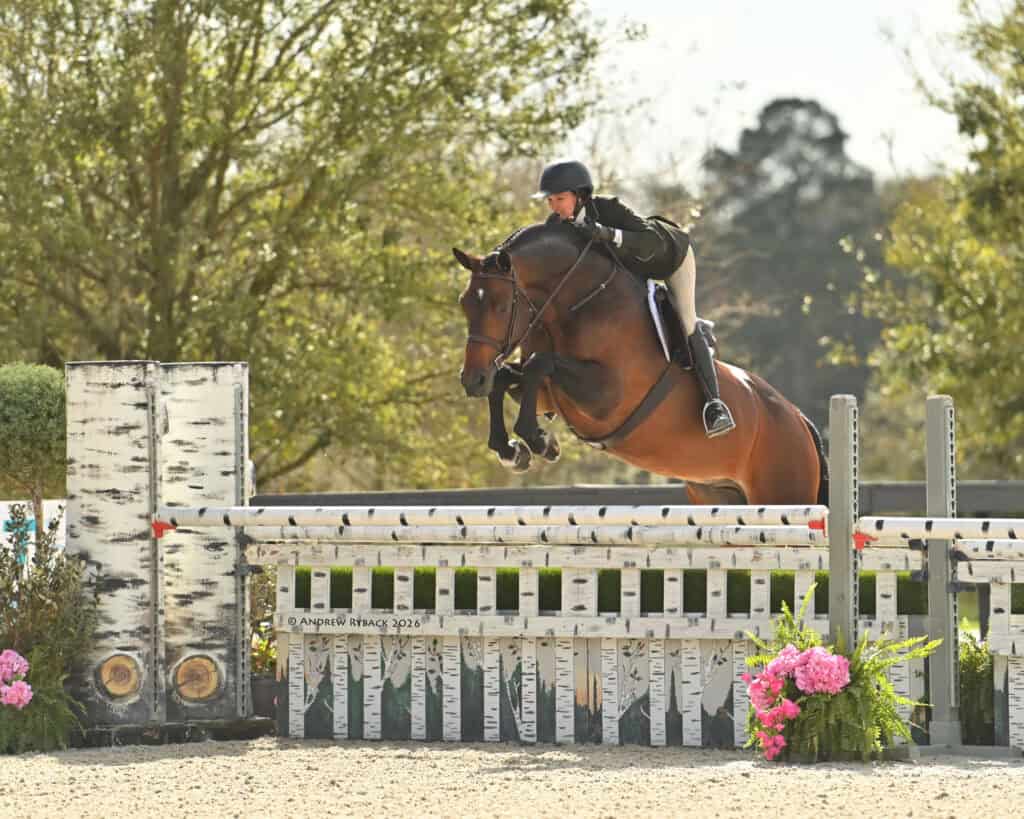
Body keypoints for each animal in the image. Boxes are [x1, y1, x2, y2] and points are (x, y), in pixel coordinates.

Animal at [453, 220, 828, 506]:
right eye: (464, 303)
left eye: (501, 306)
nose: (472, 380)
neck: (578, 301)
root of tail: (799, 420)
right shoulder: (548, 395)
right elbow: (509, 376)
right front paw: (512, 449)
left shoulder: (607, 397)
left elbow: (538, 364)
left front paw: (536, 439)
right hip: (718, 494)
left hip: (782, 491)